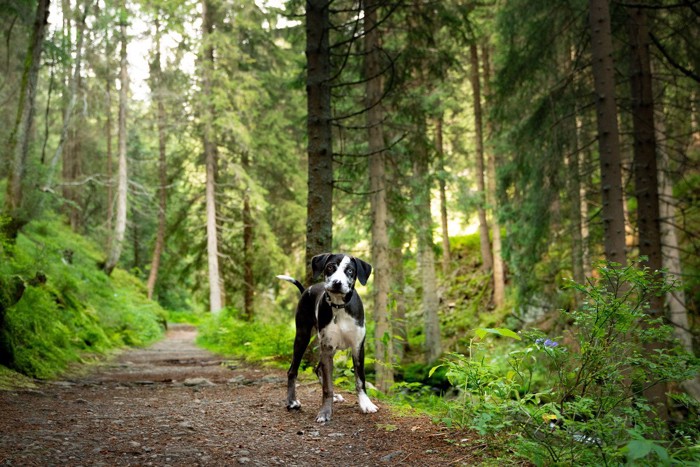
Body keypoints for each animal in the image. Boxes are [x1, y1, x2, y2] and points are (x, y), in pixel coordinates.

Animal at [278, 254, 378, 422]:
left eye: (350, 270)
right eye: (330, 267)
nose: (337, 283)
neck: (339, 308)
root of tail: (307, 289)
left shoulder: (358, 347)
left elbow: (360, 379)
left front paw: (366, 404)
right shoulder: (327, 348)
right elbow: (327, 387)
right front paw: (325, 411)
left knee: (317, 368)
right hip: (302, 337)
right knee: (292, 370)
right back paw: (291, 401)